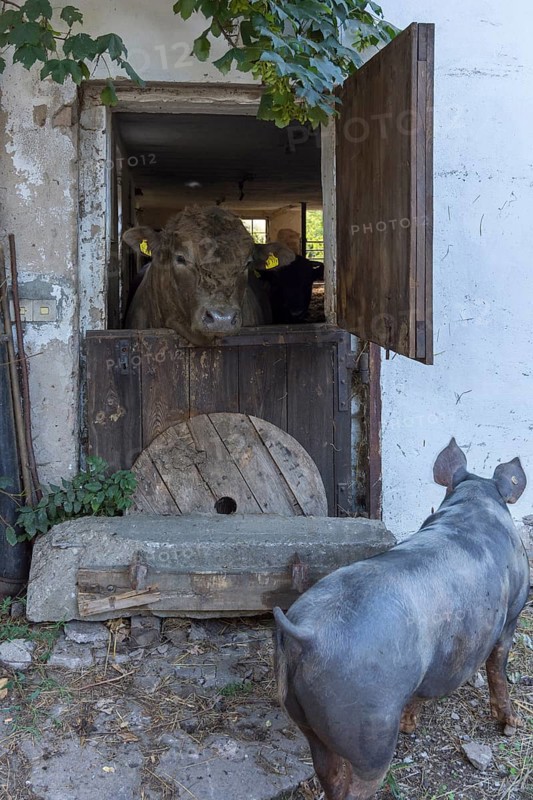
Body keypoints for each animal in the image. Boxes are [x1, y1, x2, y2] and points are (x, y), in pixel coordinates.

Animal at [273, 439, 530, 800]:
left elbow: (421, 693)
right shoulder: (512, 614)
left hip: (305, 718)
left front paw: (410, 725)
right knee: (359, 782)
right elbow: (498, 669)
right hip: (368, 724)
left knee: (328, 772)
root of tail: (308, 636)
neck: (475, 503)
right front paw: (512, 725)